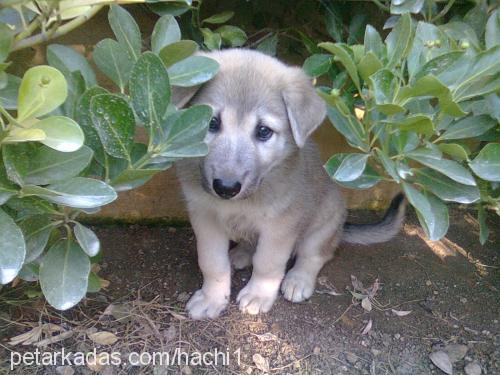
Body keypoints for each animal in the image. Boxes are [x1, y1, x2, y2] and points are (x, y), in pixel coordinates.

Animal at [174, 49, 404, 320]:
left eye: (263, 131)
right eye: (211, 122)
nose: (225, 188)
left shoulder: (281, 225)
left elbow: (268, 263)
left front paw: (259, 294)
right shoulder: (205, 217)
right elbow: (212, 263)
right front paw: (212, 298)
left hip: (324, 222)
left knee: (315, 255)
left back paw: (298, 279)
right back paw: (240, 254)